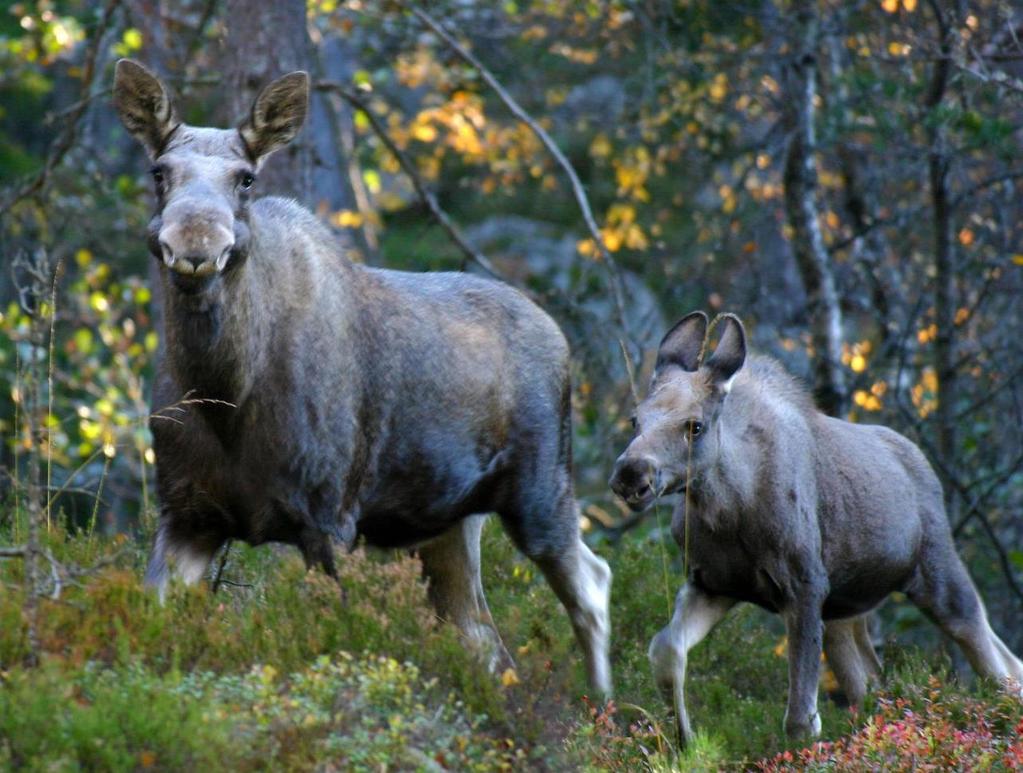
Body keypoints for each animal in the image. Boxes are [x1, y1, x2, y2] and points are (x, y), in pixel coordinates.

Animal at [609, 310, 1018, 744]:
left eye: (695, 426)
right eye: (635, 419)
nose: (631, 475)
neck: (727, 509)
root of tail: (919, 459)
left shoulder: (803, 585)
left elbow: (800, 719)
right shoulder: (712, 584)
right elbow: (665, 649)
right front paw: (684, 739)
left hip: (936, 572)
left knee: (996, 661)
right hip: (846, 609)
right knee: (872, 683)